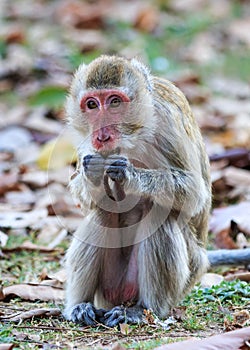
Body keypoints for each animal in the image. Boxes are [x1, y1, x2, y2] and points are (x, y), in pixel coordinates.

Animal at [64, 54, 211, 328]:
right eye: (92, 104)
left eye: (114, 102)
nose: (101, 133)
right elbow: (87, 199)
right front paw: (94, 173)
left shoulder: (168, 121)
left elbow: (195, 192)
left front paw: (130, 176)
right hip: (110, 288)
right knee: (102, 214)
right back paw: (79, 306)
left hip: (187, 274)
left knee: (159, 216)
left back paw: (144, 309)